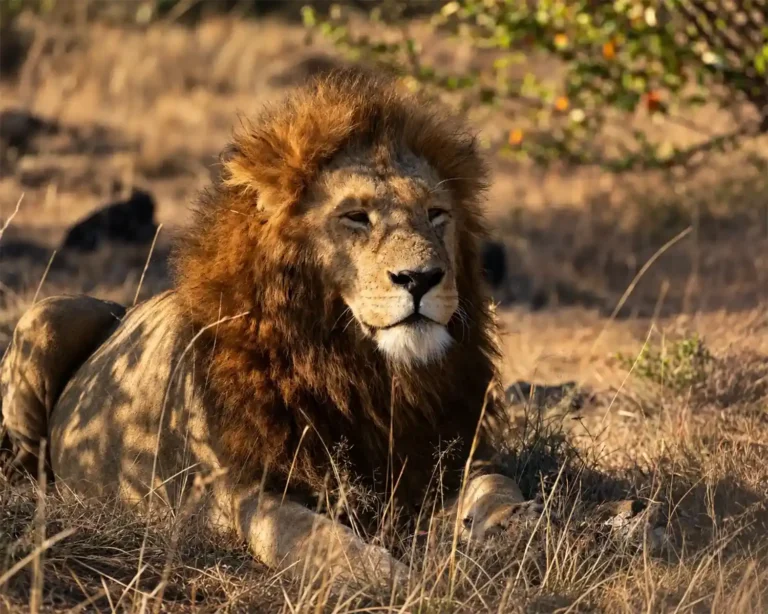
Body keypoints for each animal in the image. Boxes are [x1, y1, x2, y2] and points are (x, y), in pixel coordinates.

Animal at [0, 68, 542, 585]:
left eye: (436, 214)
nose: (421, 278)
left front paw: (515, 528)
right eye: (356, 217)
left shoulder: (450, 452)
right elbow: (315, 537)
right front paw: (388, 577)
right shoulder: (244, 489)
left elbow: (499, 485)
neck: (362, 371)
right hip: (49, 313)